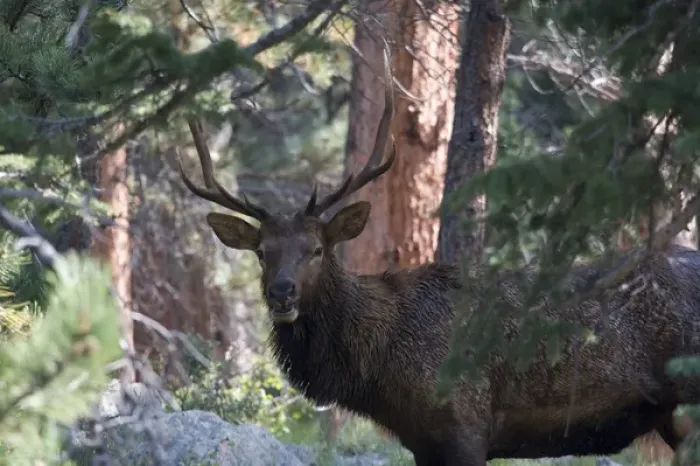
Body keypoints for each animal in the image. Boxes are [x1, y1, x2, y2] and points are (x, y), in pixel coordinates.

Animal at [178, 50, 700, 466]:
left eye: (317, 249)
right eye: (262, 252)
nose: (282, 292)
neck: (379, 373)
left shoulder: (464, 425)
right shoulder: (422, 441)